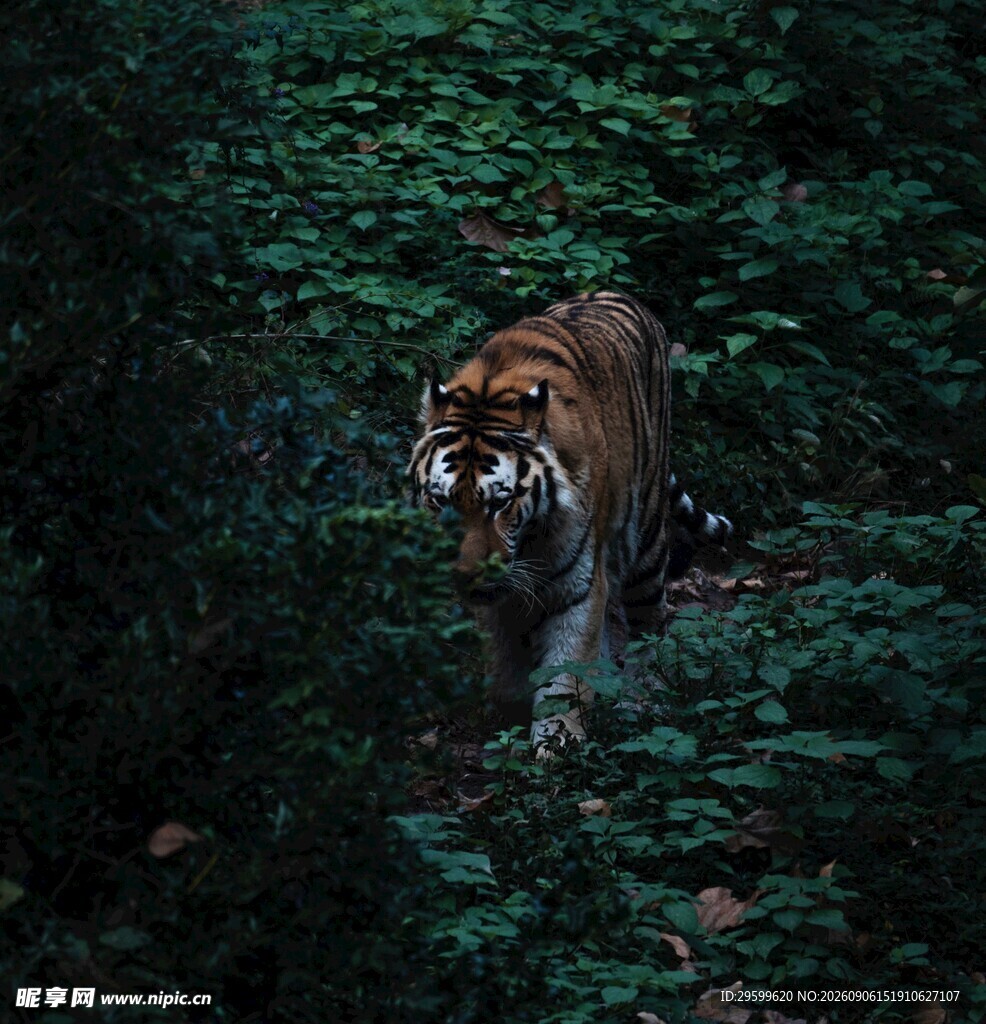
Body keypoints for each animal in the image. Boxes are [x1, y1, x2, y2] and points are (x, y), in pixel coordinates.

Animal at [408, 291, 732, 748]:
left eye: (500, 503)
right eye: (440, 501)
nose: (467, 575)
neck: (528, 540)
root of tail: (618, 294)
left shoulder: (578, 586)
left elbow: (566, 670)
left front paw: (557, 742)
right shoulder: (498, 600)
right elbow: (505, 662)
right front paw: (510, 720)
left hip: (647, 540)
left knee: (650, 623)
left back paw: (641, 699)